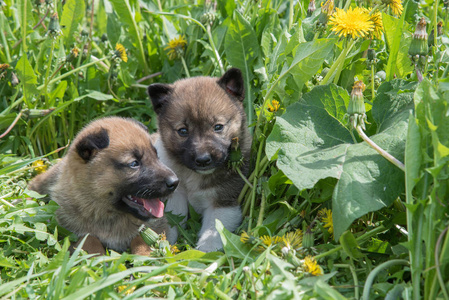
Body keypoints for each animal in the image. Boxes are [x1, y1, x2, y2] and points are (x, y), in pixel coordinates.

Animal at [27, 116, 178, 254]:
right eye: (134, 163)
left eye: (156, 156)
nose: (175, 182)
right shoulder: (71, 231)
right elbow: (89, 237)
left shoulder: (161, 229)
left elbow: (141, 238)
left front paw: (145, 256)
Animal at [149, 68, 250, 253]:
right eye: (183, 131)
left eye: (218, 127)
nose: (203, 160)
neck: (192, 176)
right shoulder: (173, 198)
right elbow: (169, 225)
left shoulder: (223, 202)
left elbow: (213, 229)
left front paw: (204, 252)